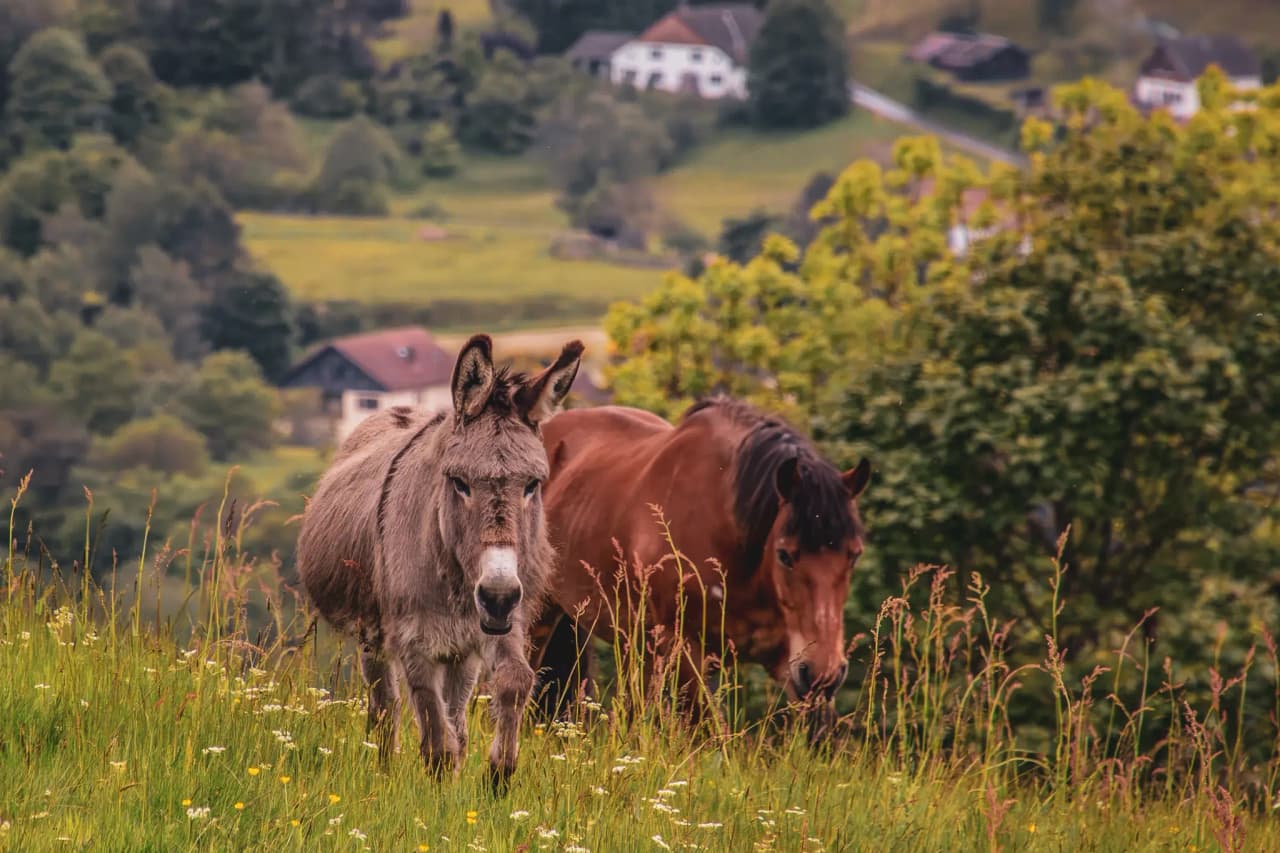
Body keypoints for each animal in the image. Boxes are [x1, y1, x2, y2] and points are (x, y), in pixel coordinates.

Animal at [297, 334, 583, 786]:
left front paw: (498, 777)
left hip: (461, 650)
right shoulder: (414, 642)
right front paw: (439, 795)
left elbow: (513, 682)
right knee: (386, 707)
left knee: (455, 714)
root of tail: (396, 410)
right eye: (459, 482)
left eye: (533, 484)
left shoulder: (503, 625)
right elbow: (436, 740)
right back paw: (384, 773)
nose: (497, 596)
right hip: (374, 634)